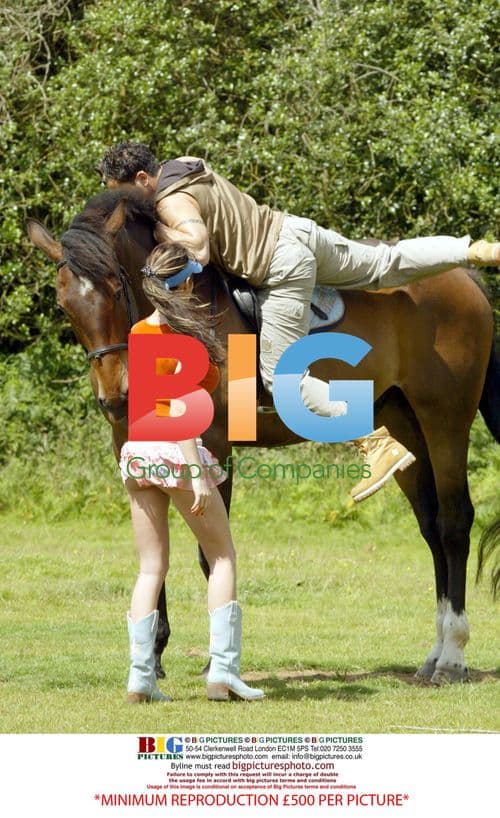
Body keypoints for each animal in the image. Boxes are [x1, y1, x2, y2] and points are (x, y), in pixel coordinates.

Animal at [27, 187, 499, 686]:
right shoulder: (130, 448)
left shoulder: (215, 446)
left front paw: (217, 660)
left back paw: (452, 657)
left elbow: (210, 552)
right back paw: (434, 652)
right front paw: (152, 657)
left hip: (445, 419)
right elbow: (154, 550)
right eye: (64, 305)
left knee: (454, 523)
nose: (115, 397)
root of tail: (464, 281)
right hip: (404, 423)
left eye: (117, 290)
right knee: (430, 524)